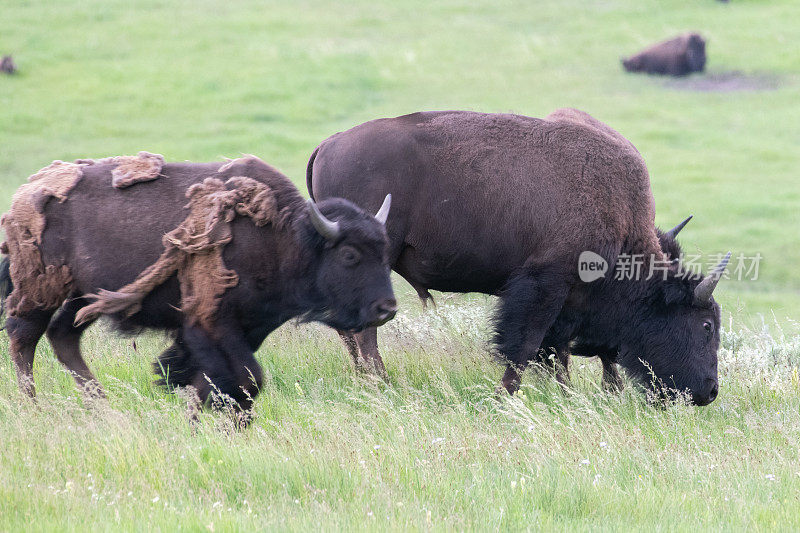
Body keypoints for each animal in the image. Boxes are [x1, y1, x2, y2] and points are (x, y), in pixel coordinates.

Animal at [0, 154, 396, 412]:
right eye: (349, 255)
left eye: (385, 251)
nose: (387, 309)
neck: (288, 238)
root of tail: (26, 191)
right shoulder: (213, 322)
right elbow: (245, 379)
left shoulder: (243, 328)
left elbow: (215, 380)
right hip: (41, 294)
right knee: (25, 339)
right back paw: (34, 405)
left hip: (84, 298)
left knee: (62, 336)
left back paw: (101, 404)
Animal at [308, 110, 732, 406]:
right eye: (706, 325)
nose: (709, 391)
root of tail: (329, 144)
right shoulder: (544, 287)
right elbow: (525, 347)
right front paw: (504, 398)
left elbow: (555, 353)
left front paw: (563, 395)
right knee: (364, 330)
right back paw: (381, 383)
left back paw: (369, 380)